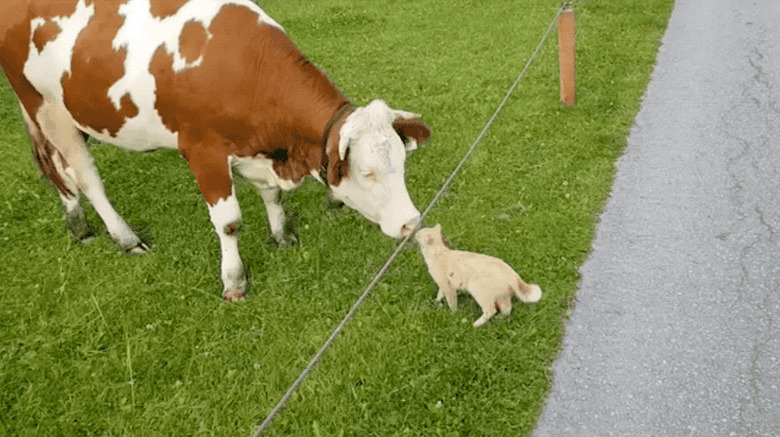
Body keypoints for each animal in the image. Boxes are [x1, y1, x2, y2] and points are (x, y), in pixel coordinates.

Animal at [0, 0, 432, 300]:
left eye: (402, 163)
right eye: (367, 172)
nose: (411, 223)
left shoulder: (258, 153)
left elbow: (271, 195)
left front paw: (281, 236)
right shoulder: (202, 150)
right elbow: (228, 221)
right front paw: (234, 281)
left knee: (55, 167)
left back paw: (77, 223)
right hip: (44, 104)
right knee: (85, 175)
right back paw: (125, 237)